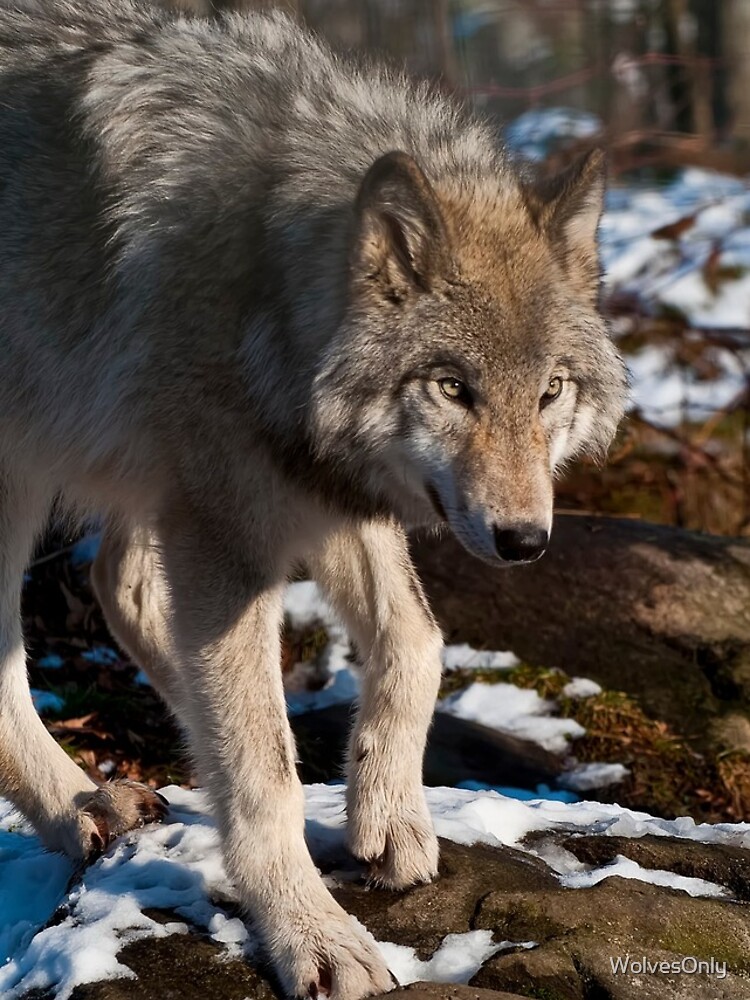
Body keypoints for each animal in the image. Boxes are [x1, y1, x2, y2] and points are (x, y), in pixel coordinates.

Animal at [0, 1, 626, 996]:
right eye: (453, 388)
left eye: (551, 392)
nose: (526, 539)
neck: (263, 284)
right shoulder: (227, 523)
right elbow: (262, 770)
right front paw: (312, 934)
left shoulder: (314, 490)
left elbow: (416, 641)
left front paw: (386, 811)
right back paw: (75, 808)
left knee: (123, 589)